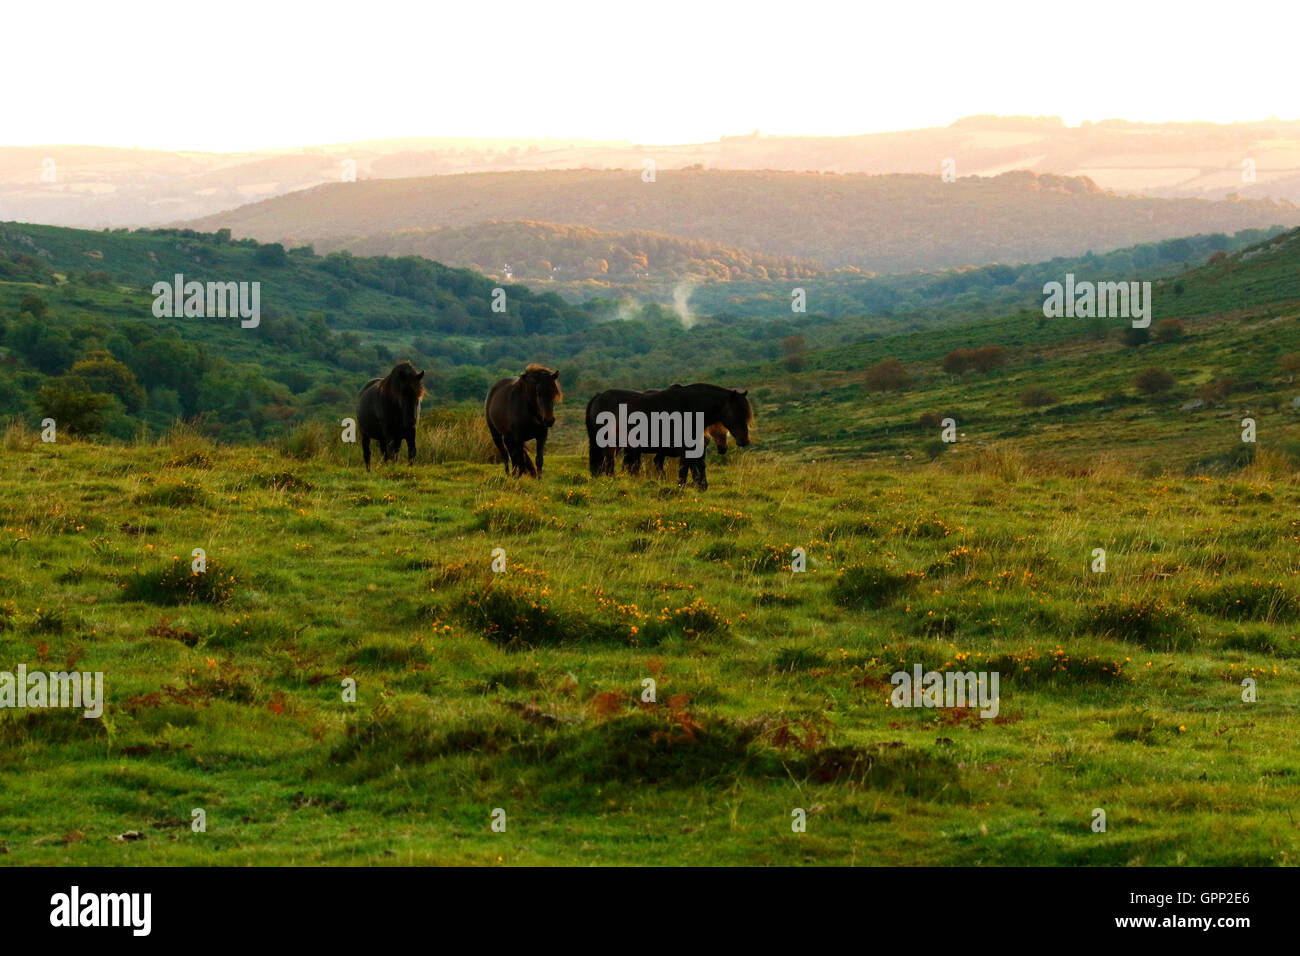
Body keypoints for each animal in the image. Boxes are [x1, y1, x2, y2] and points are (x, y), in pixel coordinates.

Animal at [587, 382, 754, 489]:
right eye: (737, 411)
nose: (744, 440)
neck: (690, 408)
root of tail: (598, 396)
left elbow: (694, 466)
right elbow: (685, 468)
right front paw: (682, 487)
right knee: (609, 464)